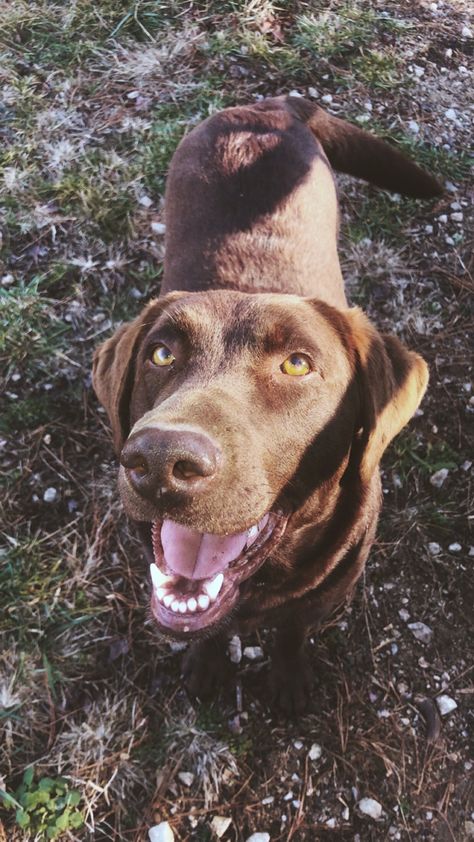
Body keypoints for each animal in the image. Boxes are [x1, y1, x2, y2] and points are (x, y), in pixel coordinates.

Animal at [92, 95, 440, 708]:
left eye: (297, 364)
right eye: (160, 353)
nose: (159, 460)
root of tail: (270, 103)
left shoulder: (325, 593)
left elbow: (292, 630)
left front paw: (289, 678)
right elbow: (209, 629)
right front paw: (208, 665)